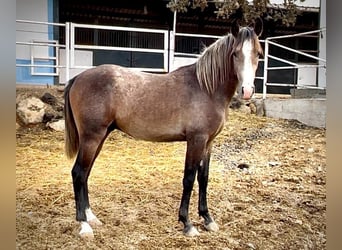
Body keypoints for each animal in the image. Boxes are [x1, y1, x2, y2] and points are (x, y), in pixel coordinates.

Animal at [63, 25, 262, 238]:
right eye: (235, 53)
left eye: (258, 53)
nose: (247, 91)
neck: (206, 88)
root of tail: (77, 78)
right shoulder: (196, 140)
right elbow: (189, 178)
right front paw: (187, 223)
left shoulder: (208, 142)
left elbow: (204, 178)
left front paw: (208, 219)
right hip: (91, 137)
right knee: (78, 173)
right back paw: (84, 225)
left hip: (99, 137)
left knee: (86, 173)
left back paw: (91, 217)